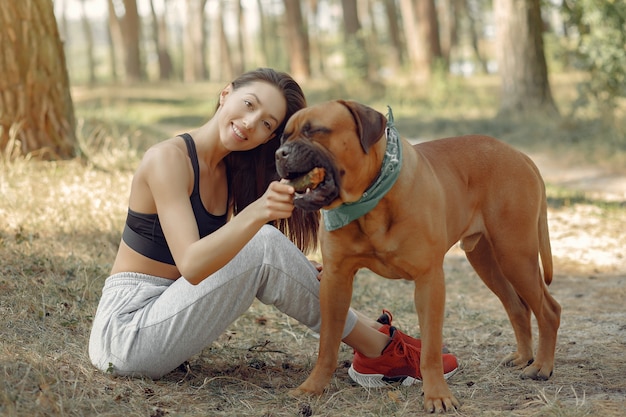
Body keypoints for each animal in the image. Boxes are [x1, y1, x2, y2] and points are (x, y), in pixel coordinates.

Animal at [272, 99, 560, 412]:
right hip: (488, 260)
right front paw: (312, 388)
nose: (279, 153)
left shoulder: (429, 281)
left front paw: (437, 395)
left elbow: (431, 349)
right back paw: (523, 357)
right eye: (283, 136)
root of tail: (521, 155)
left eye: (315, 131)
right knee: (518, 307)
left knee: (549, 309)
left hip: (515, 254)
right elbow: (327, 344)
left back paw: (541, 367)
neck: (370, 201)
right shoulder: (335, 279)